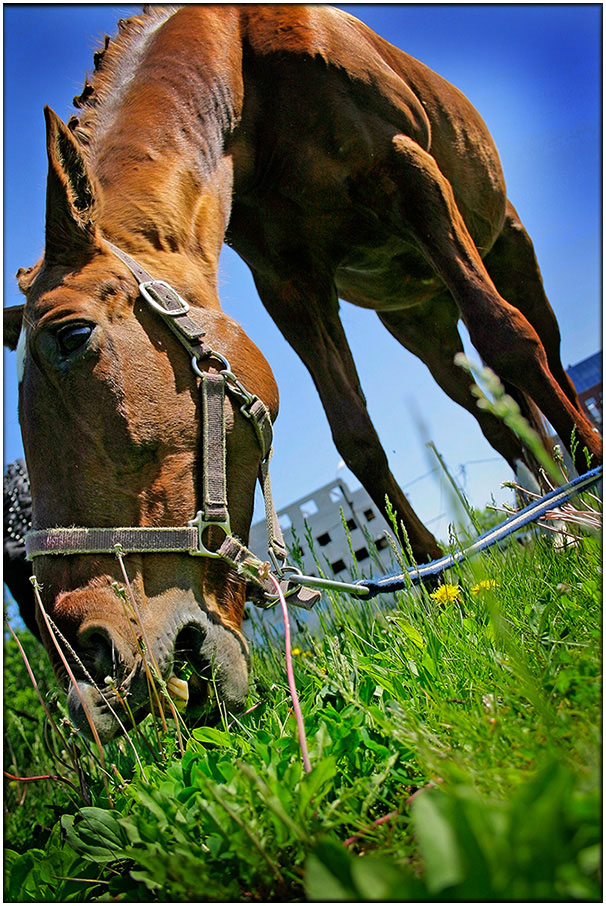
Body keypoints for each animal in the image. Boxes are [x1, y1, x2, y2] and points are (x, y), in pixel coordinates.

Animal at [4, 7, 604, 740]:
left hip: (502, 242)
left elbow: (509, 338)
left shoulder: (410, 171)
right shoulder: (290, 281)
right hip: (418, 316)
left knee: (535, 350)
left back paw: (577, 496)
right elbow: (357, 438)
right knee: (492, 411)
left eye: (73, 335)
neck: (242, 66)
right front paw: (440, 589)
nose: (93, 647)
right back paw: (555, 517)